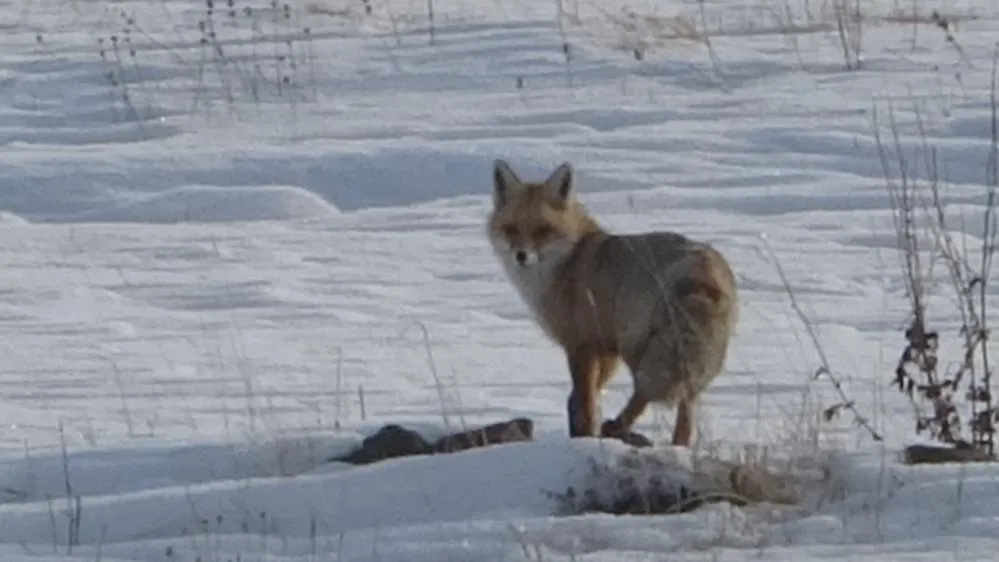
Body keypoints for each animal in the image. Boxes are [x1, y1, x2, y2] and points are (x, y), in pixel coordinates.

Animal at [488, 160, 740, 444]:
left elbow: (585, 401)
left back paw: (618, 427)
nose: (521, 256)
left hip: (638, 347)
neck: (569, 259)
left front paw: (586, 435)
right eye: (510, 229)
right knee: (686, 410)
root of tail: (703, 270)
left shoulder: (584, 344)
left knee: (644, 393)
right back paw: (678, 446)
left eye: (543, 230)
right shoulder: (607, 349)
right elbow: (583, 397)